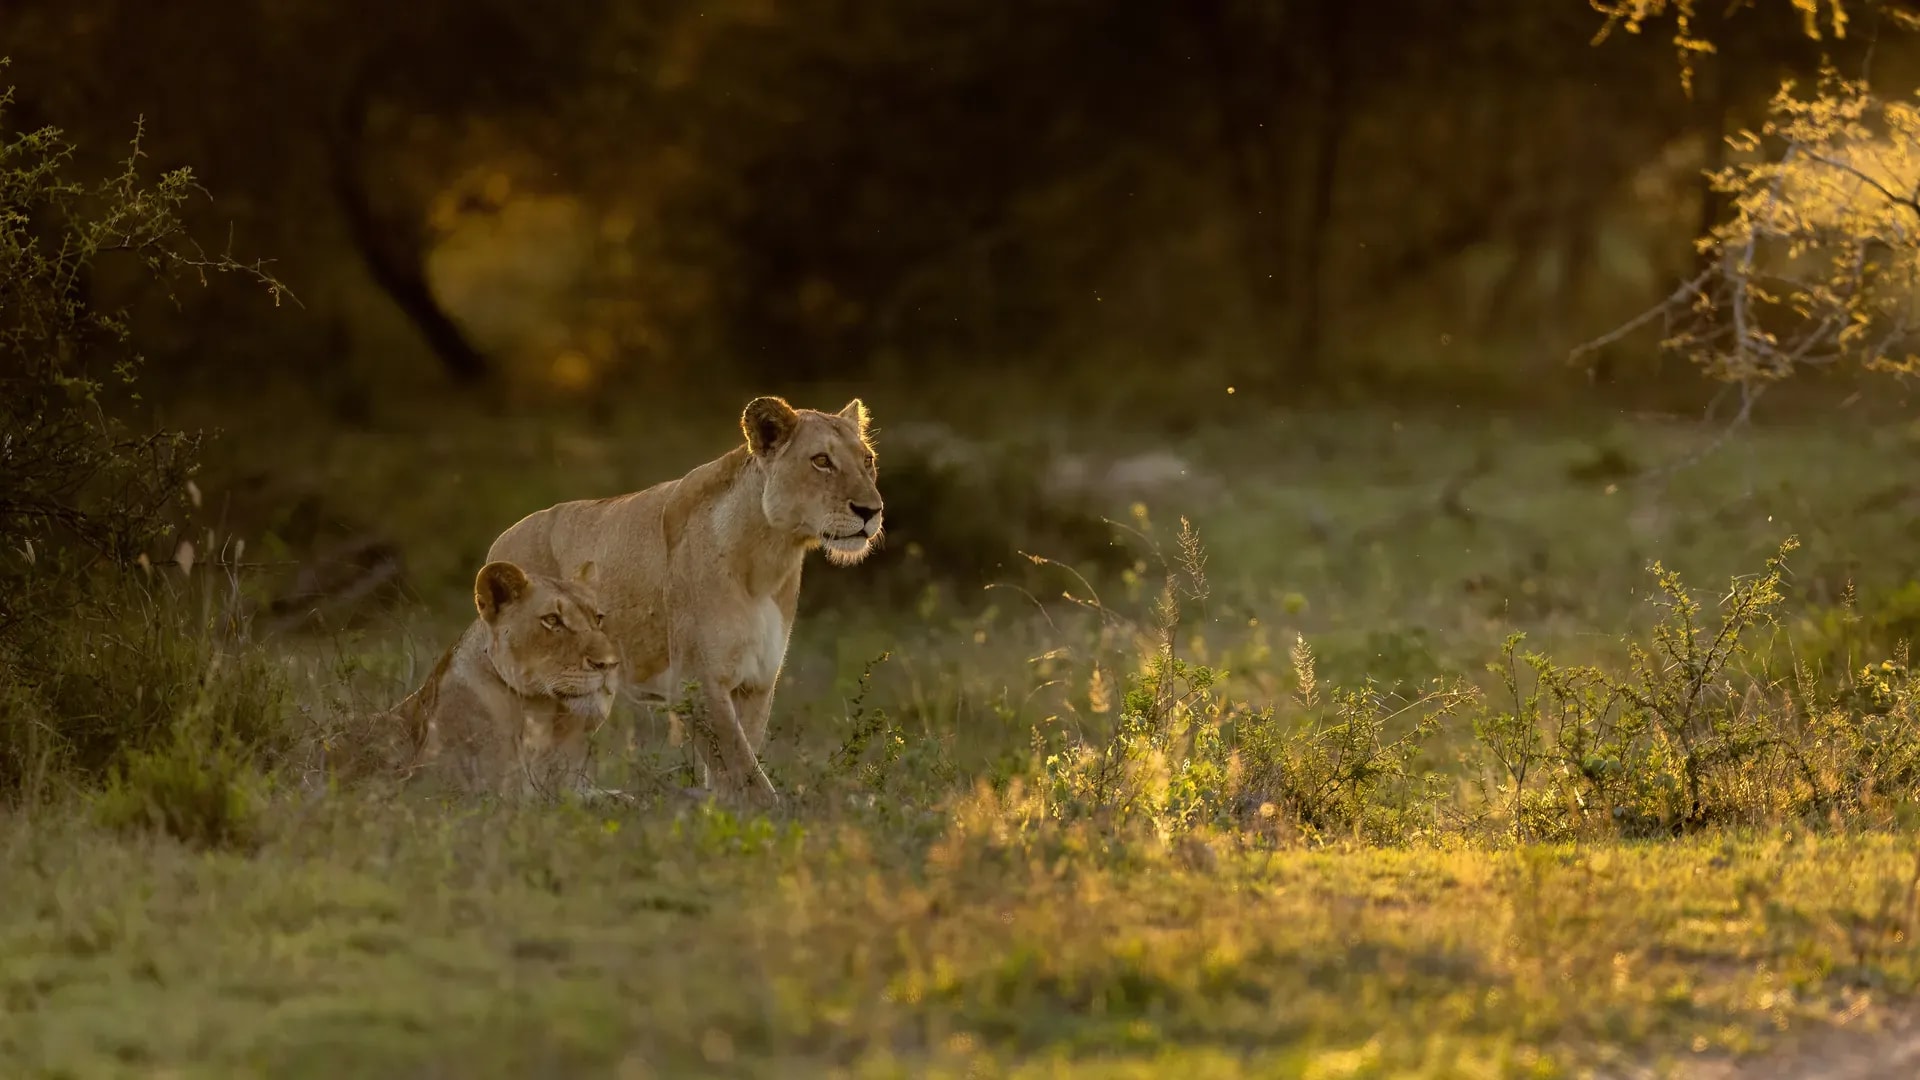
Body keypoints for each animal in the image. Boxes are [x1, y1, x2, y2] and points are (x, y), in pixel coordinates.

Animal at [485, 396, 883, 806]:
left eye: (867, 460)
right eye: (821, 460)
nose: (872, 511)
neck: (769, 557)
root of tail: (499, 545)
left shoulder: (757, 682)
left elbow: (735, 765)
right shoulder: (698, 680)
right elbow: (744, 770)